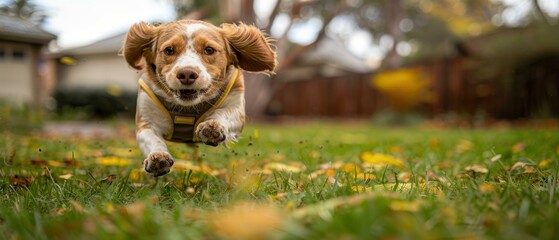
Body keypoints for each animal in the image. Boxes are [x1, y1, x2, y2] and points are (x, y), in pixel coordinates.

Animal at [124, 20, 278, 176]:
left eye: (209, 50)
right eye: (169, 50)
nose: (187, 74)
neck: (187, 108)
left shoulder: (236, 105)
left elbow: (223, 113)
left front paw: (211, 127)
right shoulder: (146, 119)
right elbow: (152, 138)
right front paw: (157, 158)